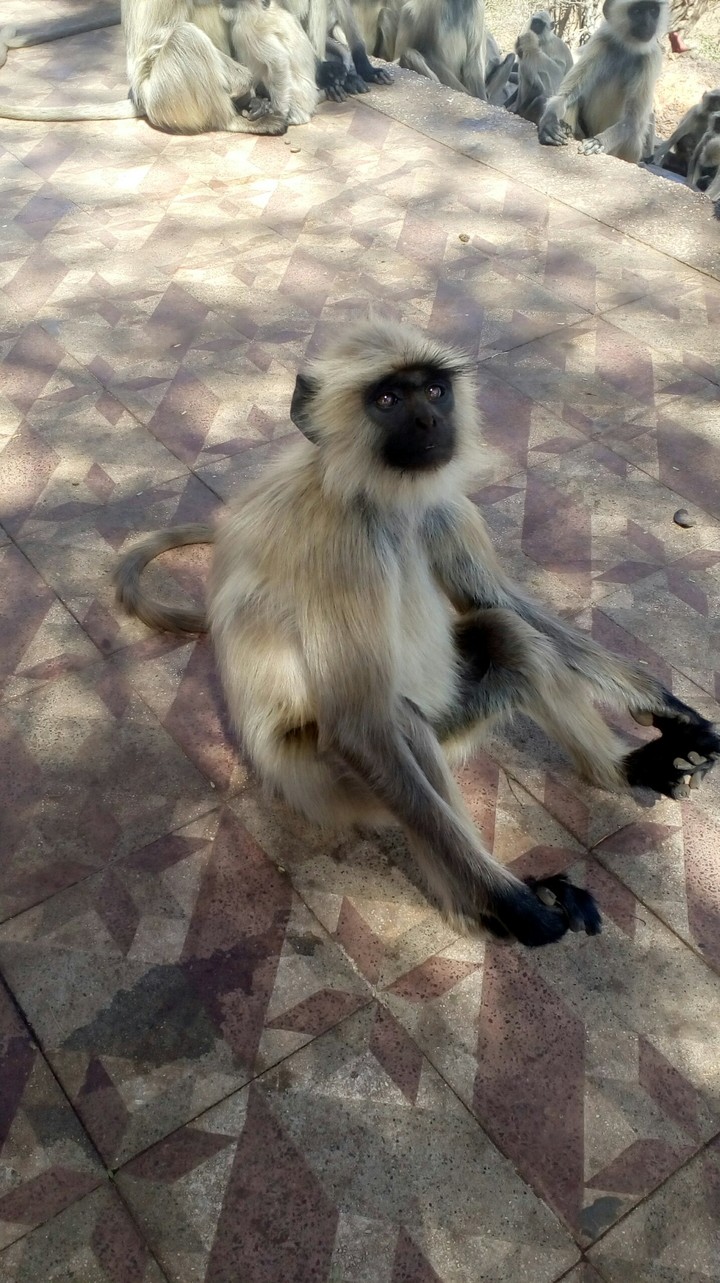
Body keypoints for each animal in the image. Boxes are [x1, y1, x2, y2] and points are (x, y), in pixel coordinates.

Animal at [0, 0, 287, 134]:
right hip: (163, 94)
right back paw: (232, 120)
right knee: (184, 36)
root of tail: (140, 98)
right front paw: (244, 84)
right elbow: (155, 35)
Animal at [113, 318, 720, 950]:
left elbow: (500, 602)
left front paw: (672, 710)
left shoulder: (442, 507)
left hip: (455, 720)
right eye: (387, 400)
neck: (377, 498)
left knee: (510, 637)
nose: (430, 422)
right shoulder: (342, 551)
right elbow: (358, 722)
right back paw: (477, 909)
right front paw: (515, 904)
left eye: (433, 391)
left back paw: (622, 770)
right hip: (322, 782)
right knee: (396, 721)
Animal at [539, 0, 667, 163]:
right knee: (574, 98)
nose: (648, 24)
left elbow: (631, 121)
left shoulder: (652, 56)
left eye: (653, 11)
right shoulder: (602, 41)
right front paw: (549, 122)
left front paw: (598, 142)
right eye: (637, 12)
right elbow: (563, 96)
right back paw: (565, 128)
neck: (627, 47)